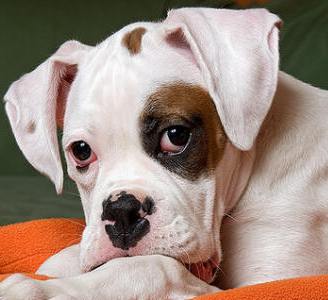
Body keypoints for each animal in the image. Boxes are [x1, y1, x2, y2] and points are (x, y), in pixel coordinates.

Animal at [0, 6, 328, 300]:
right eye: (81, 151)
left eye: (176, 136)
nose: (121, 212)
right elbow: (72, 257)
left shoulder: (272, 285)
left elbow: (155, 268)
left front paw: (37, 289)